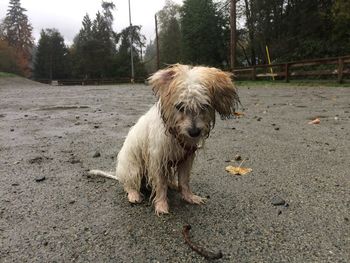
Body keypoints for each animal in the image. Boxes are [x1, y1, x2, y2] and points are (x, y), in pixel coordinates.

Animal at [89, 64, 239, 217]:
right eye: (180, 106)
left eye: (204, 106)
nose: (194, 132)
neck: (175, 134)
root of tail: (120, 174)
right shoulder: (157, 161)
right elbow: (160, 186)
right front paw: (161, 205)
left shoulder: (186, 159)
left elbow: (184, 181)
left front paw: (189, 197)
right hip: (133, 168)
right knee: (129, 185)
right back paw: (134, 194)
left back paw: (172, 184)